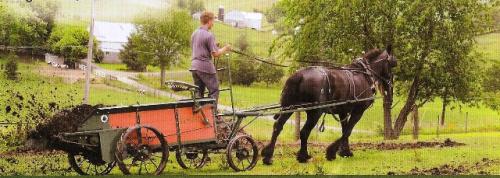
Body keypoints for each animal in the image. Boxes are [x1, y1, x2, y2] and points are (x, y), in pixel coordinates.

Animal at [262, 46, 398, 164]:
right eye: (392, 64)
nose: (390, 85)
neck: (365, 75)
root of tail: (299, 75)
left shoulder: (343, 111)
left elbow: (344, 129)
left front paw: (345, 152)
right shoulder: (358, 111)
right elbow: (348, 131)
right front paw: (332, 152)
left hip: (289, 107)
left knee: (278, 126)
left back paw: (268, 156)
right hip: (315, 112)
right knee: (304, 132)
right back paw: (303, 156)